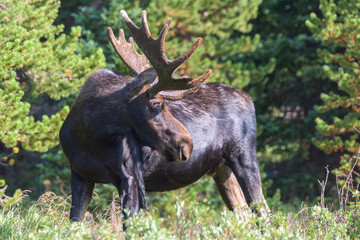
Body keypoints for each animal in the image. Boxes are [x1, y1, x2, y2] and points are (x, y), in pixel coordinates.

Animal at [59, 10, 268, 222]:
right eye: (157, 104)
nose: (187, 144)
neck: (90, 136)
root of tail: (249, 99)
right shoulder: (80, 174)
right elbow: (75, 220)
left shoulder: (129, 177)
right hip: (222, 170)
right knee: (244, 215)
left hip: (244, 157)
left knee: (264, 212)